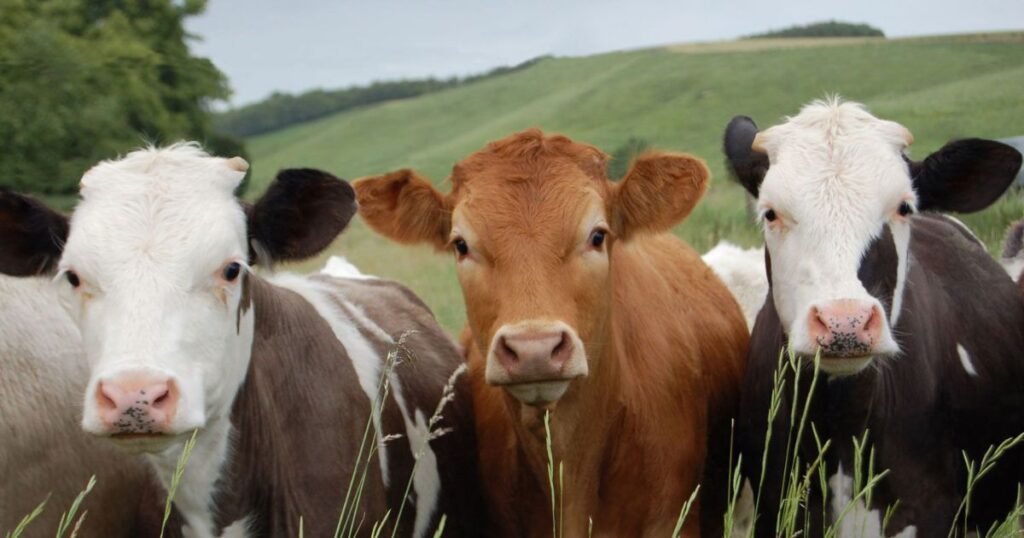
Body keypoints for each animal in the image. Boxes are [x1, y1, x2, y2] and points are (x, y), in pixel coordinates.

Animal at [724, 98, 1024, 536]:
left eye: (903, 207)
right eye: (770, 213)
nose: (843, 323)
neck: (843, 425)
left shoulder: (926, 510)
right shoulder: (777, 508)